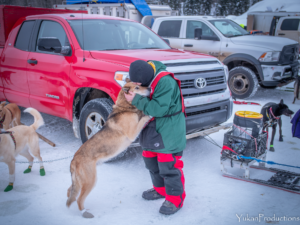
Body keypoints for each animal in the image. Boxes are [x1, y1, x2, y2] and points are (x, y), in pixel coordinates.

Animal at [65, 81, 150, 218]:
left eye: (140, 84)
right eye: (137, 87)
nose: (149, 88)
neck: (125, 108)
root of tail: (74, 160)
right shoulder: (133, 132)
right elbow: (144, 117)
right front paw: (150, 113)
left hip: (79, 181)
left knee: (70, 192)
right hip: (90, 181)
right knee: (79, 199)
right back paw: (84, 212)